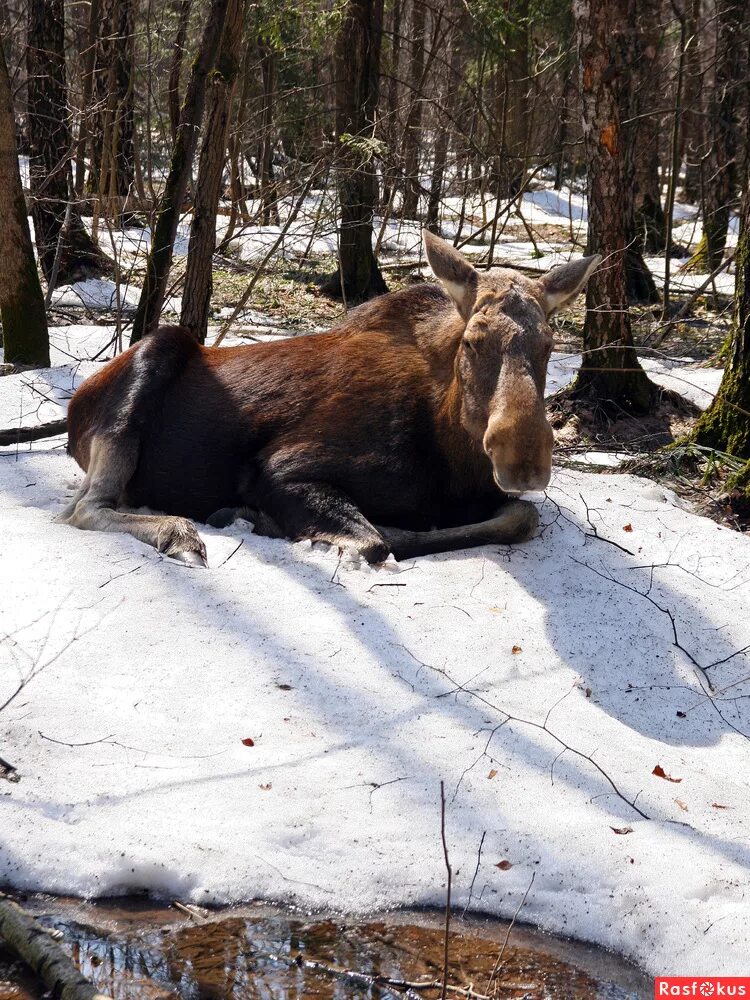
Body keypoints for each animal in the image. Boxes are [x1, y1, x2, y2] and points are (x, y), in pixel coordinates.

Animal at [63, 230, 604, 568]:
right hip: (154, 355)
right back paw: (178, 532)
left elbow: (523, 516)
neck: (454, 457)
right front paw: (255, 517)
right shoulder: (282, 469)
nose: (524, 459)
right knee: (82, 509)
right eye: (472, 341)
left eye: (549, 346)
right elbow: (376, 542)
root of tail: (74, 406)